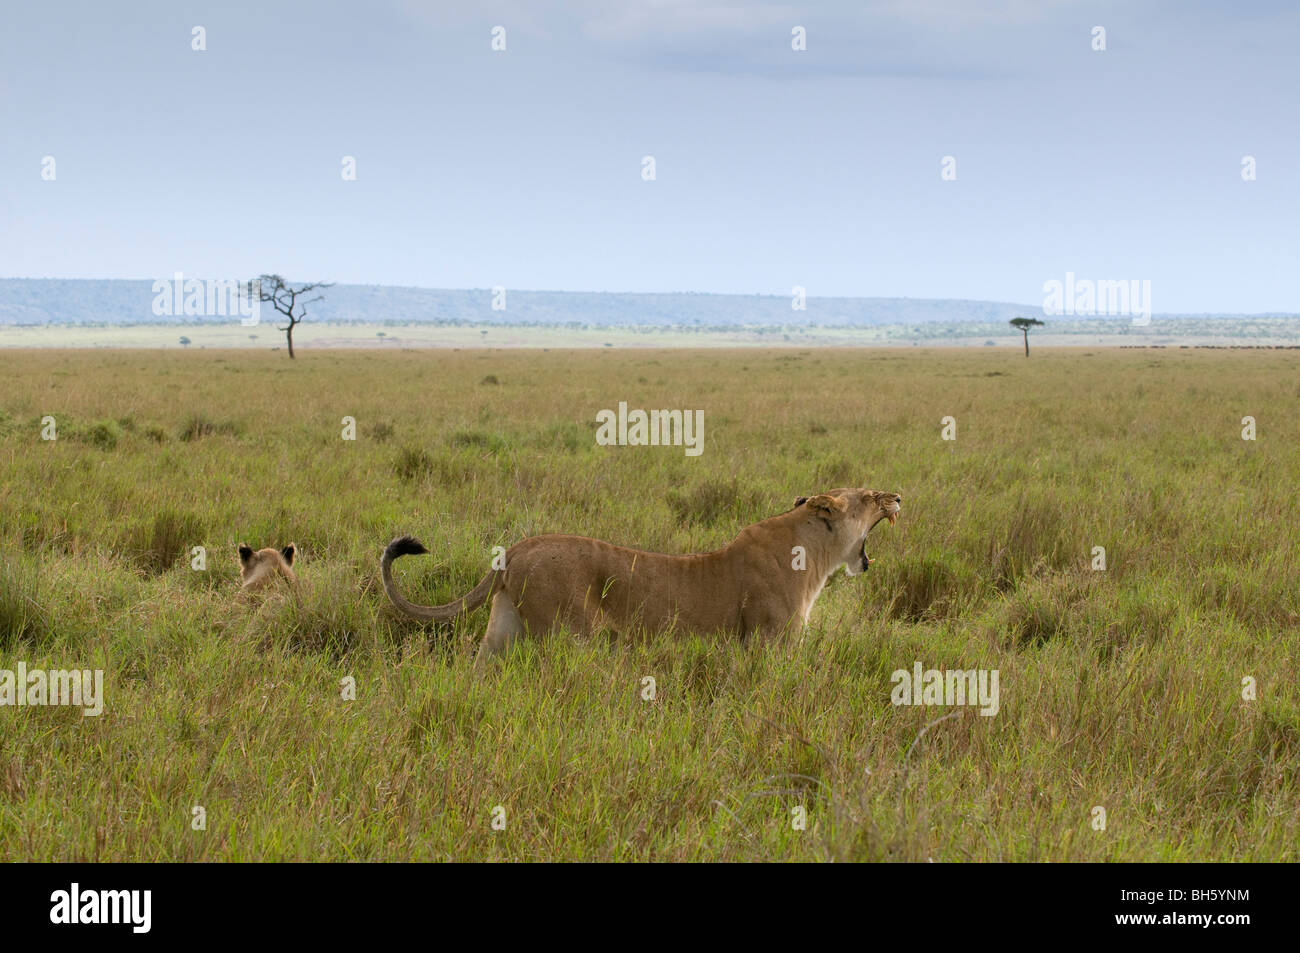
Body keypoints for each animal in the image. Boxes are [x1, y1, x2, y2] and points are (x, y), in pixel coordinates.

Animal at [381, 488, 901, 665]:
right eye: (869, 496)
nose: (897, 496)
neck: (817, 554)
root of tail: (516, 548)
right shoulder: (772, 641)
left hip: (503, 630)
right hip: (573, 634)